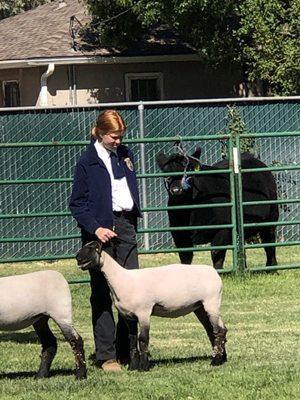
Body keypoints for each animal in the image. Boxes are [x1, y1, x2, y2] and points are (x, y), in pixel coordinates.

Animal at [75, 239, 227, 370]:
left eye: (91, 248)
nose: (77, 257)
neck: (121, 280)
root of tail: (214, 272)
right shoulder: (128, 316)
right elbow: (132, 340)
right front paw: (133, 367)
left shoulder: (144, 312)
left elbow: (143, 339)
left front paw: (143, 367)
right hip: (199, 306)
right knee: (217, 330)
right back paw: (222, 358)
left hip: (211, 302)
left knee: (218, 330)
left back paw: (215, 361)